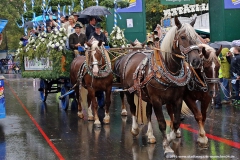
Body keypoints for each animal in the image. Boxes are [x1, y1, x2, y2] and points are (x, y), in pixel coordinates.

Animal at [114, 16, 202, 158]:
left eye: (196, 37)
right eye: (183, 37)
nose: (196, 61)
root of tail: (133, 53)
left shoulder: (177, 99)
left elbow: (176, 121)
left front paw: (171, 137)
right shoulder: (156, 100)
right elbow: (161, 123)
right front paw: (167, 148)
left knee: (148, 113)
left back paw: (150, 135)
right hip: (129, 91)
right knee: (132, 108)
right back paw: (134, 129)